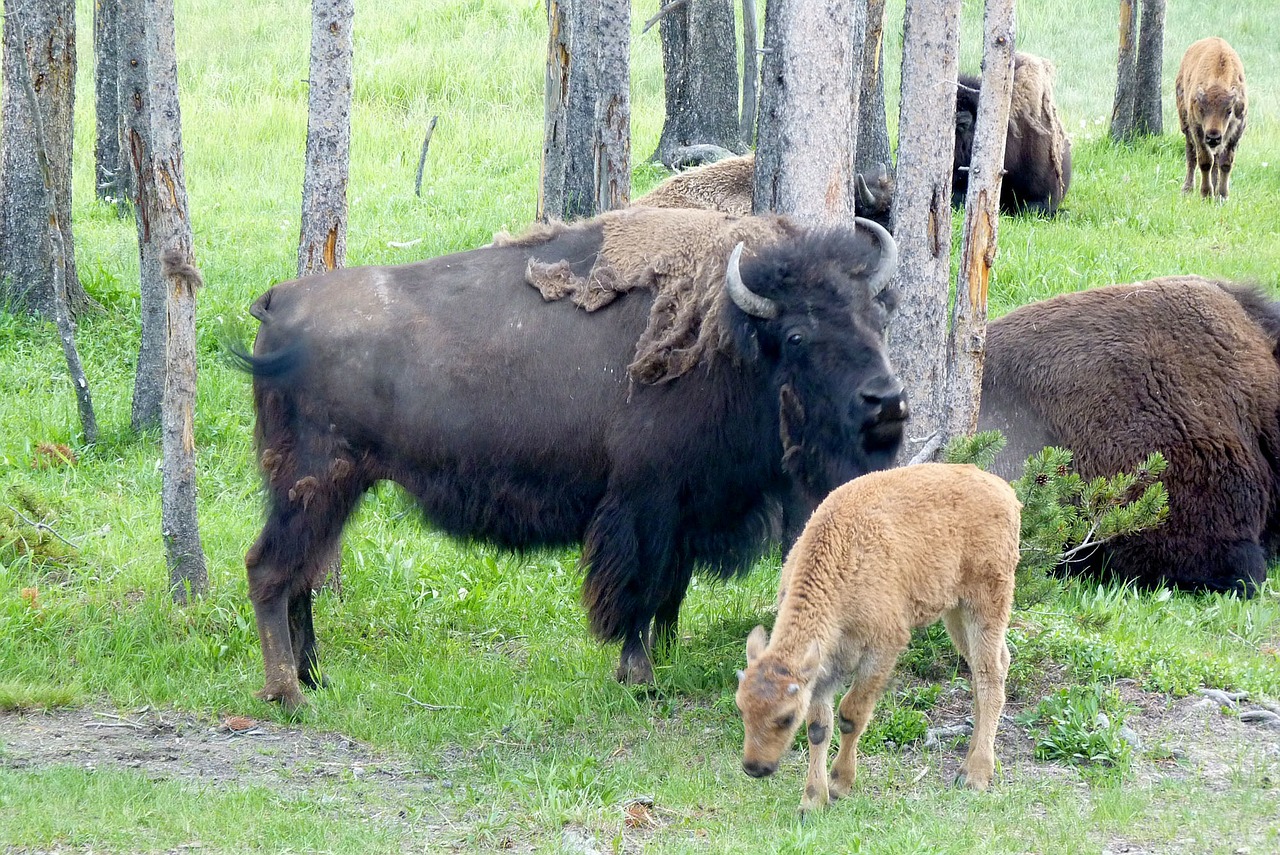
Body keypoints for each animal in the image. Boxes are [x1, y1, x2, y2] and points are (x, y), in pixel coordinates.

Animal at [235, 203, 906, 706]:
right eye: (797, 335)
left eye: (877, 317)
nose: (887, 402)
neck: (732, 339)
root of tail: (280, 300)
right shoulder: (644, 505)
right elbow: (639, 593)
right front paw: (639, 678)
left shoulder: (687, 510)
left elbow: (671, 594)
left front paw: (663, 663)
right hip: (313, 483)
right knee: (270, 570)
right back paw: (287, 694)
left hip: (329, 491)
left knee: (301, 576)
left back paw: (314, 678)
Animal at [732, 463, 1018, 814]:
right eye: (742, 708)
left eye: (786, 718)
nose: (754, 767)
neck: (842, 561)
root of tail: (1002, 488)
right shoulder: (824, 664)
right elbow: (819, 727)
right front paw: (812, 801)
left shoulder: (882, 649)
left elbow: (851, 715)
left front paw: (839, 784)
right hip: (955, 613)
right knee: (990, 668)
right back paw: (966, 767)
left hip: (986, 602)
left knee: (990, 675)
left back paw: (976, 776)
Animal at [1172, 37, 1244, 200]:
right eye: (1201, 109)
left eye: (1229, 110)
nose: (1213, 137)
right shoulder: (1198, 131)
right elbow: (1205, 161)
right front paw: (1206, 194)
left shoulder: (1236, 132)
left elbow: (1225, 163)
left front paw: (1222, 196)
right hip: (1185, 126)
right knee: (1191, 155)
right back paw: (1187, 188)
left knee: (1216, 160)